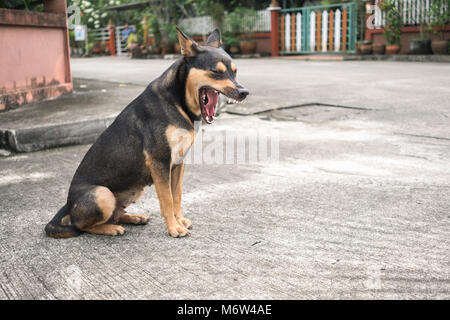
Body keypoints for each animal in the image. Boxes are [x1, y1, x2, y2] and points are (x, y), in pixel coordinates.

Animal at [44, 28, 250, 238]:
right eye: (215, 72)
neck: (177, 101)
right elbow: (167, 200)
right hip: (102, 194)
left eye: (235, 72)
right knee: (82, 226)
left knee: (116, 214)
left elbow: (177, 196)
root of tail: (68, 205)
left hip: (135, 189)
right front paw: (174, 228)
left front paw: (180, 220)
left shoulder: (178, 163)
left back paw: (134, 218)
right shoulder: (160, 163)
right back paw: (111, 228)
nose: (244, 93)